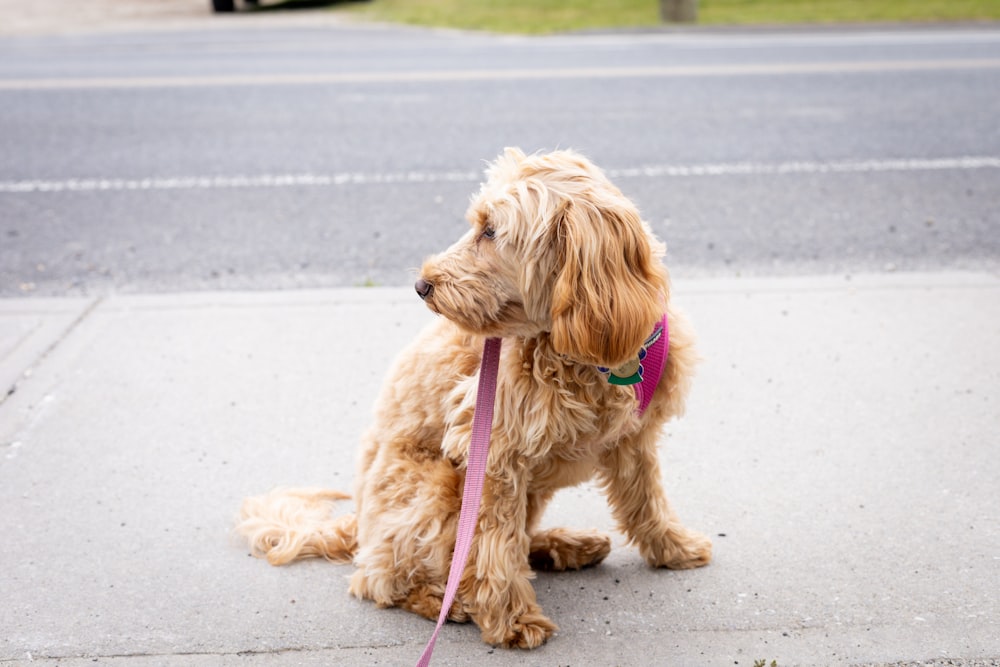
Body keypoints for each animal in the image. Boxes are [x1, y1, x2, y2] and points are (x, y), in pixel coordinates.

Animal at [236, 149, 712, 648]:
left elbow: (646, 499)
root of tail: (359, 528)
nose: (421, 285)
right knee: (382, 580)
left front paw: (672, 547)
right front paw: (510, 618)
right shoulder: (493, 453)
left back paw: (561, 547)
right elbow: (494, 544)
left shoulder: (633, 440)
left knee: (511, 539)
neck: (581, 354)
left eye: (490, 231)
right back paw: (453, 601)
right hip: (438, 488)